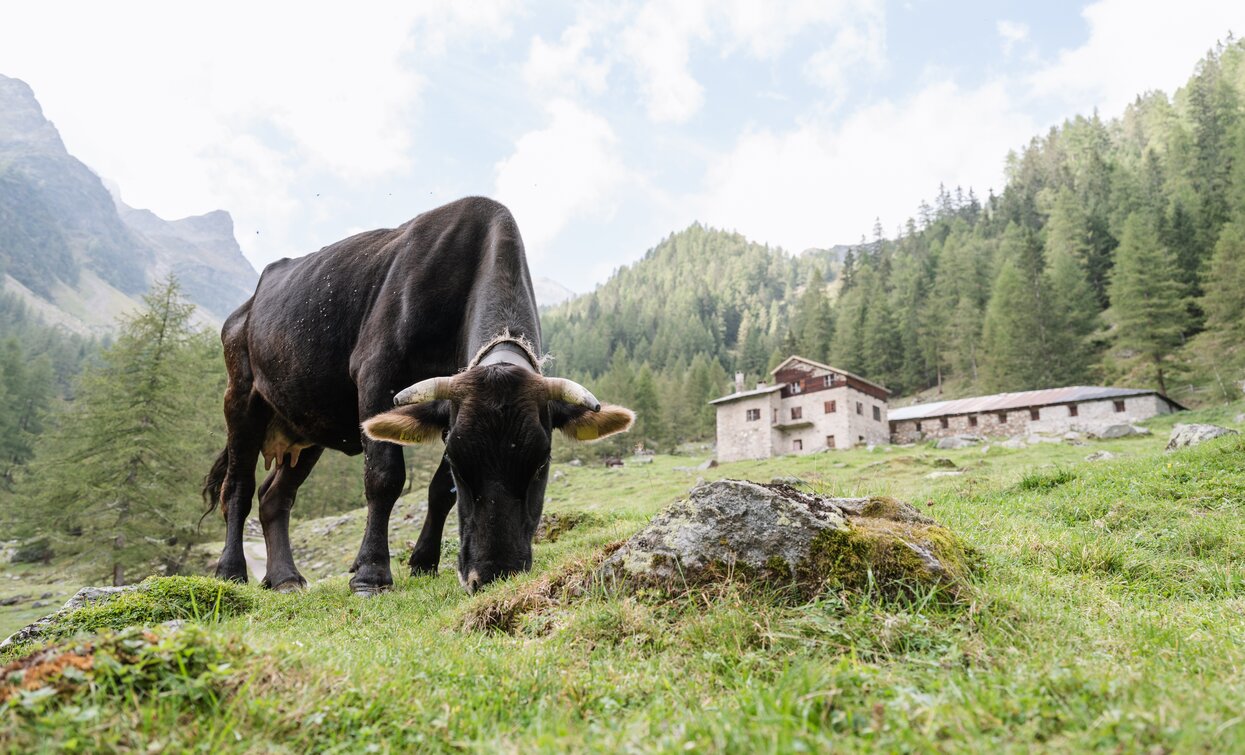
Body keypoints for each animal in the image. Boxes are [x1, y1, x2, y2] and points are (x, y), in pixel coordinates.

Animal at [205, 196, 637, 598]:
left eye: (542, 461)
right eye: (461, 461)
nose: (494, 574)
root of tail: (245, 309)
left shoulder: (448, 414)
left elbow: (439, 490)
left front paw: (423, 561)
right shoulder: (376, 376)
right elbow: (384, 477)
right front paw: (371, 574)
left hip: (307, 425)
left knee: (274, 497)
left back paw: (284, 578)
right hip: (240, 399)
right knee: (238, 488)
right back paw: (231, 571)